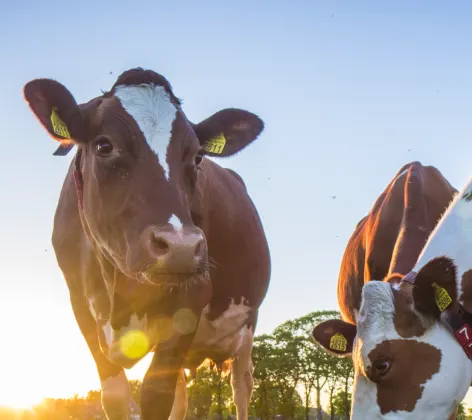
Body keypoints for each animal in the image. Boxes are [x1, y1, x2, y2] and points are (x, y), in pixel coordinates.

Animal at [24, 67, 272, 418]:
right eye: (104, 146)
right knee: (183, 398)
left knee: (241, 386)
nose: (181, 247)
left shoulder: (191, 298)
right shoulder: (80, 305)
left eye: (198, 157)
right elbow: (115, 396)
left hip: (246, 326)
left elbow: (156, 394)